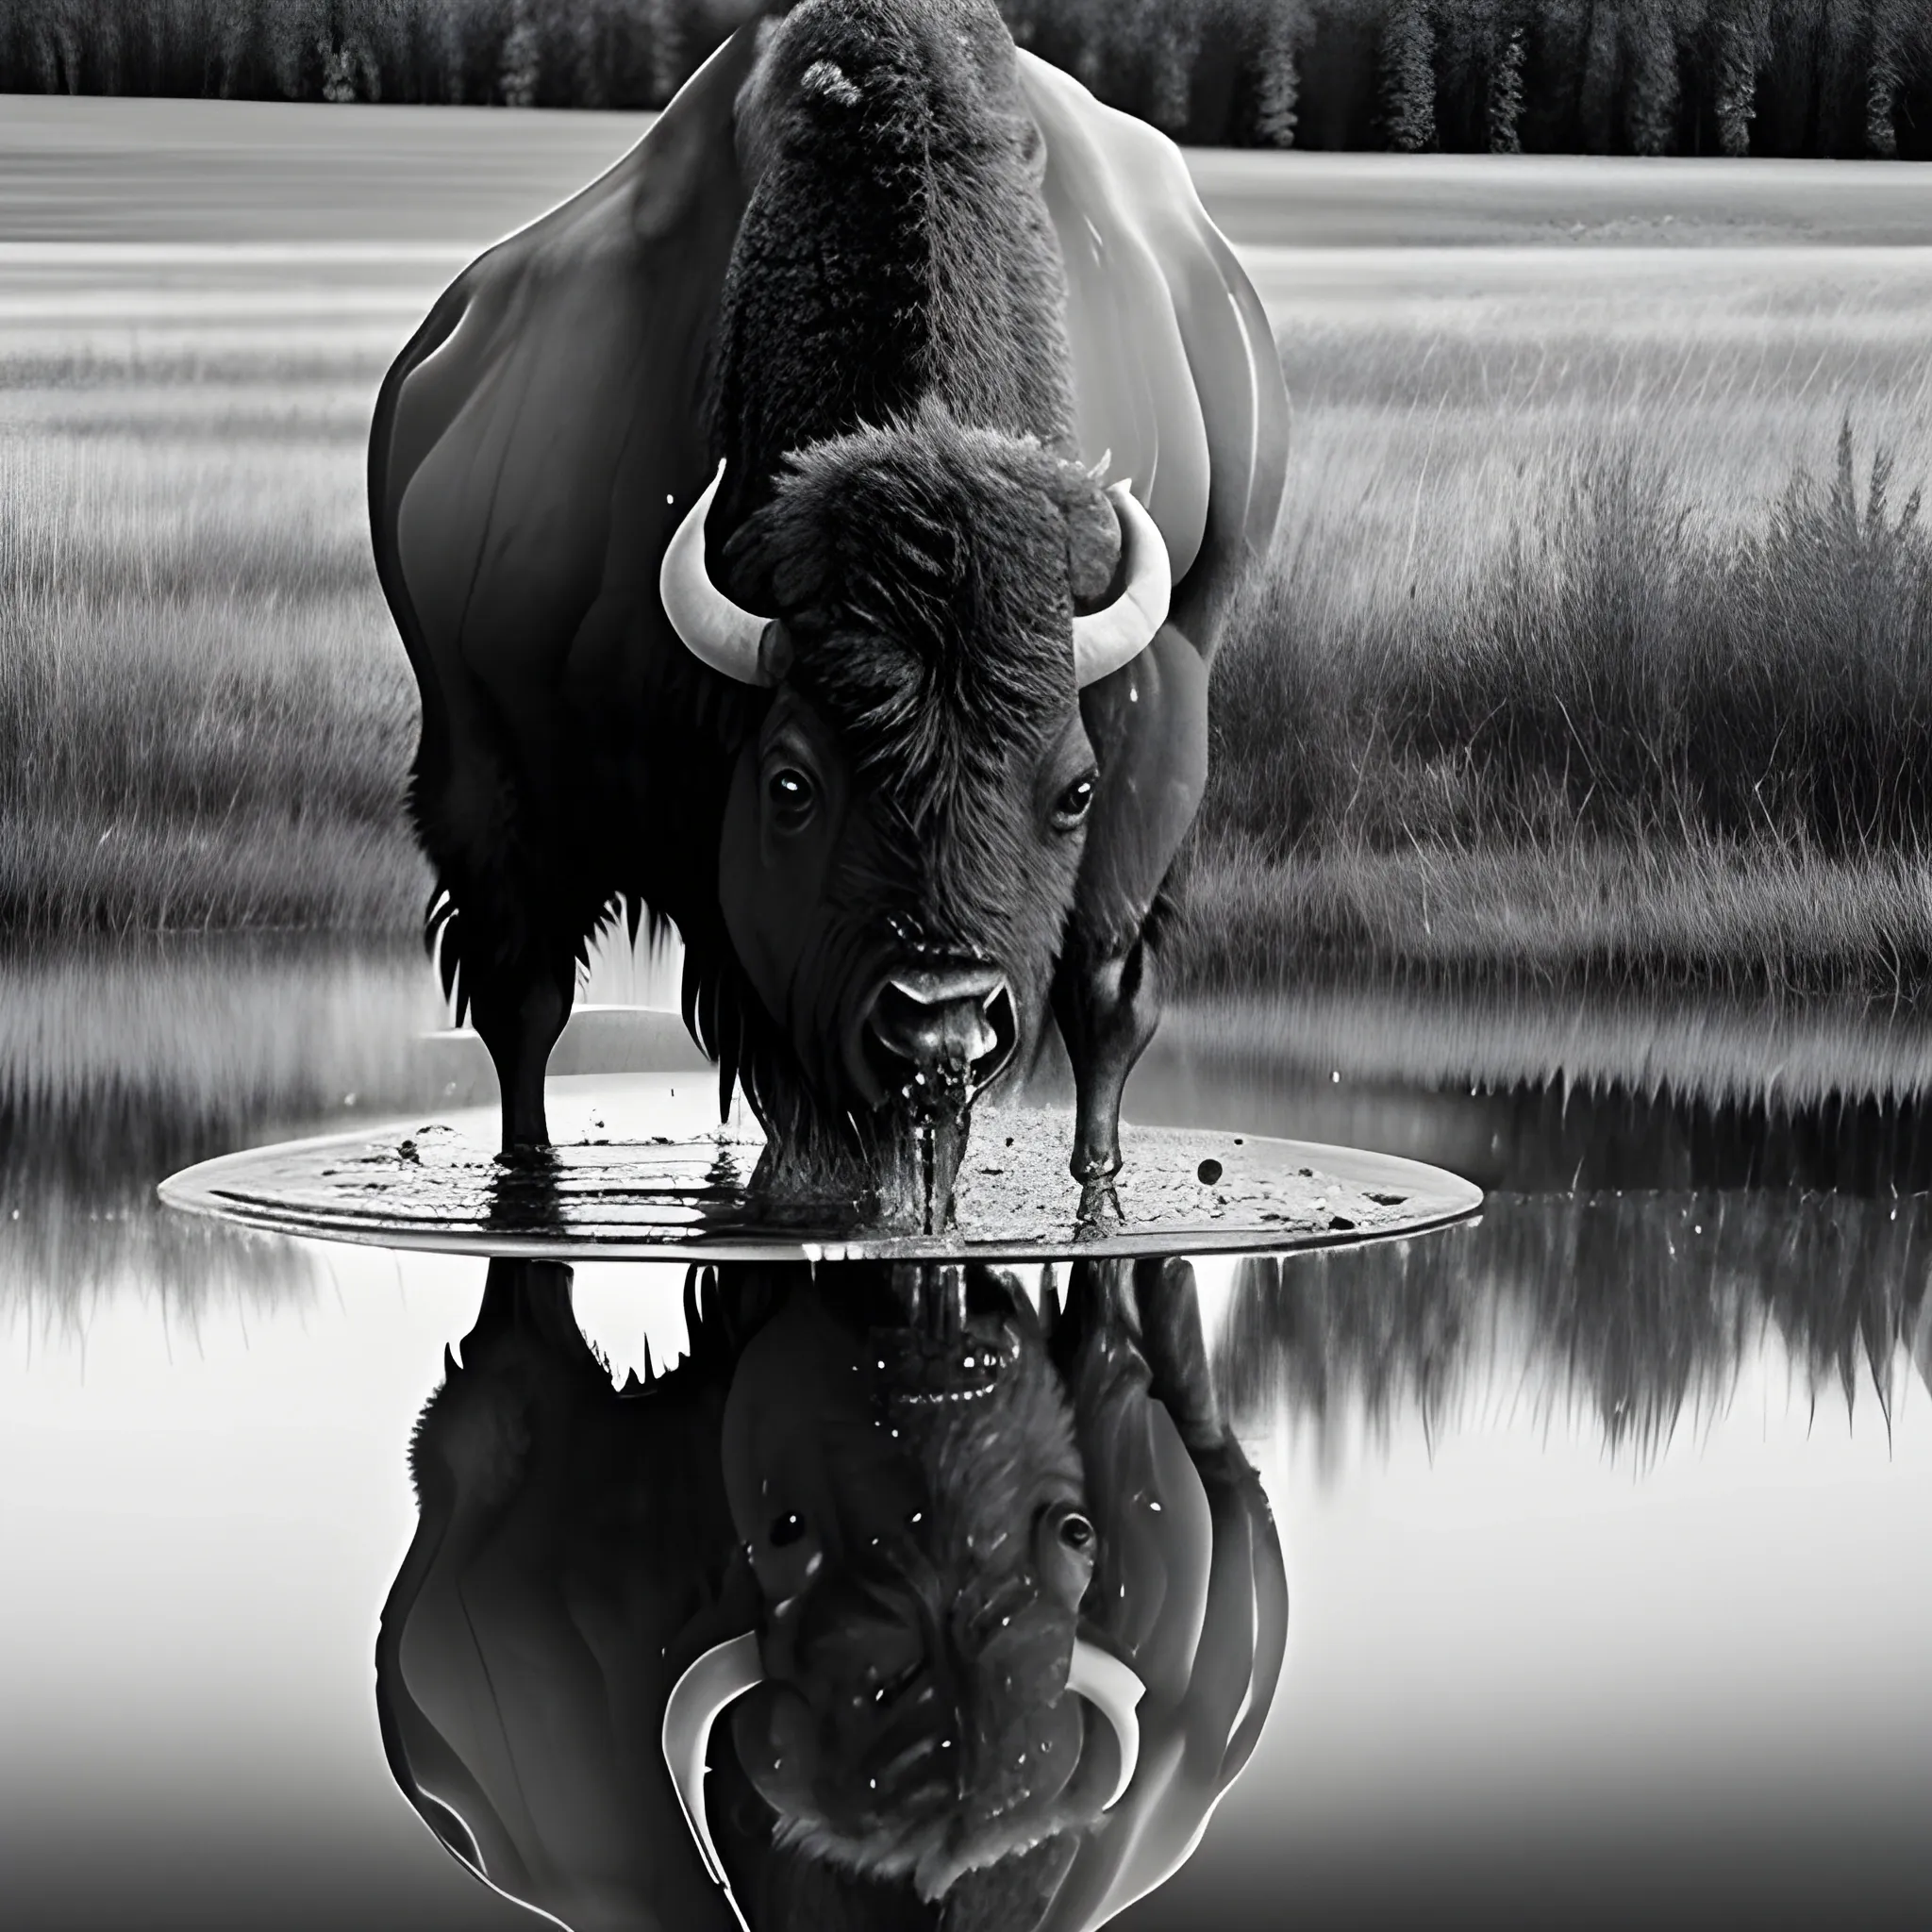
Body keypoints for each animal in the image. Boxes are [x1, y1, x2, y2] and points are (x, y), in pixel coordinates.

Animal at [371, 0, 1291, 1221]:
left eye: (1072, 790)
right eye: (791, 784)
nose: (940, 1021)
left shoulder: (1159, 724)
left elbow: (1103, 992)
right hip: (485, 780)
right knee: (524, 1000)